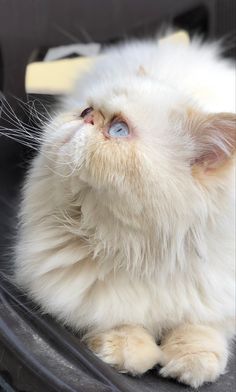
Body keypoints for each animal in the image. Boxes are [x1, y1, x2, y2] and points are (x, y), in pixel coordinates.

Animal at [14, 35, 234, 388]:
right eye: (86, 110)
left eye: (119, 130)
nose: (86, 118)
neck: (137, 249)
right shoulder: (80, 297)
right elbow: (117, 320)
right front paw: (130, 354)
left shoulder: (218, 297)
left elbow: (201, 328)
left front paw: (192, 364)